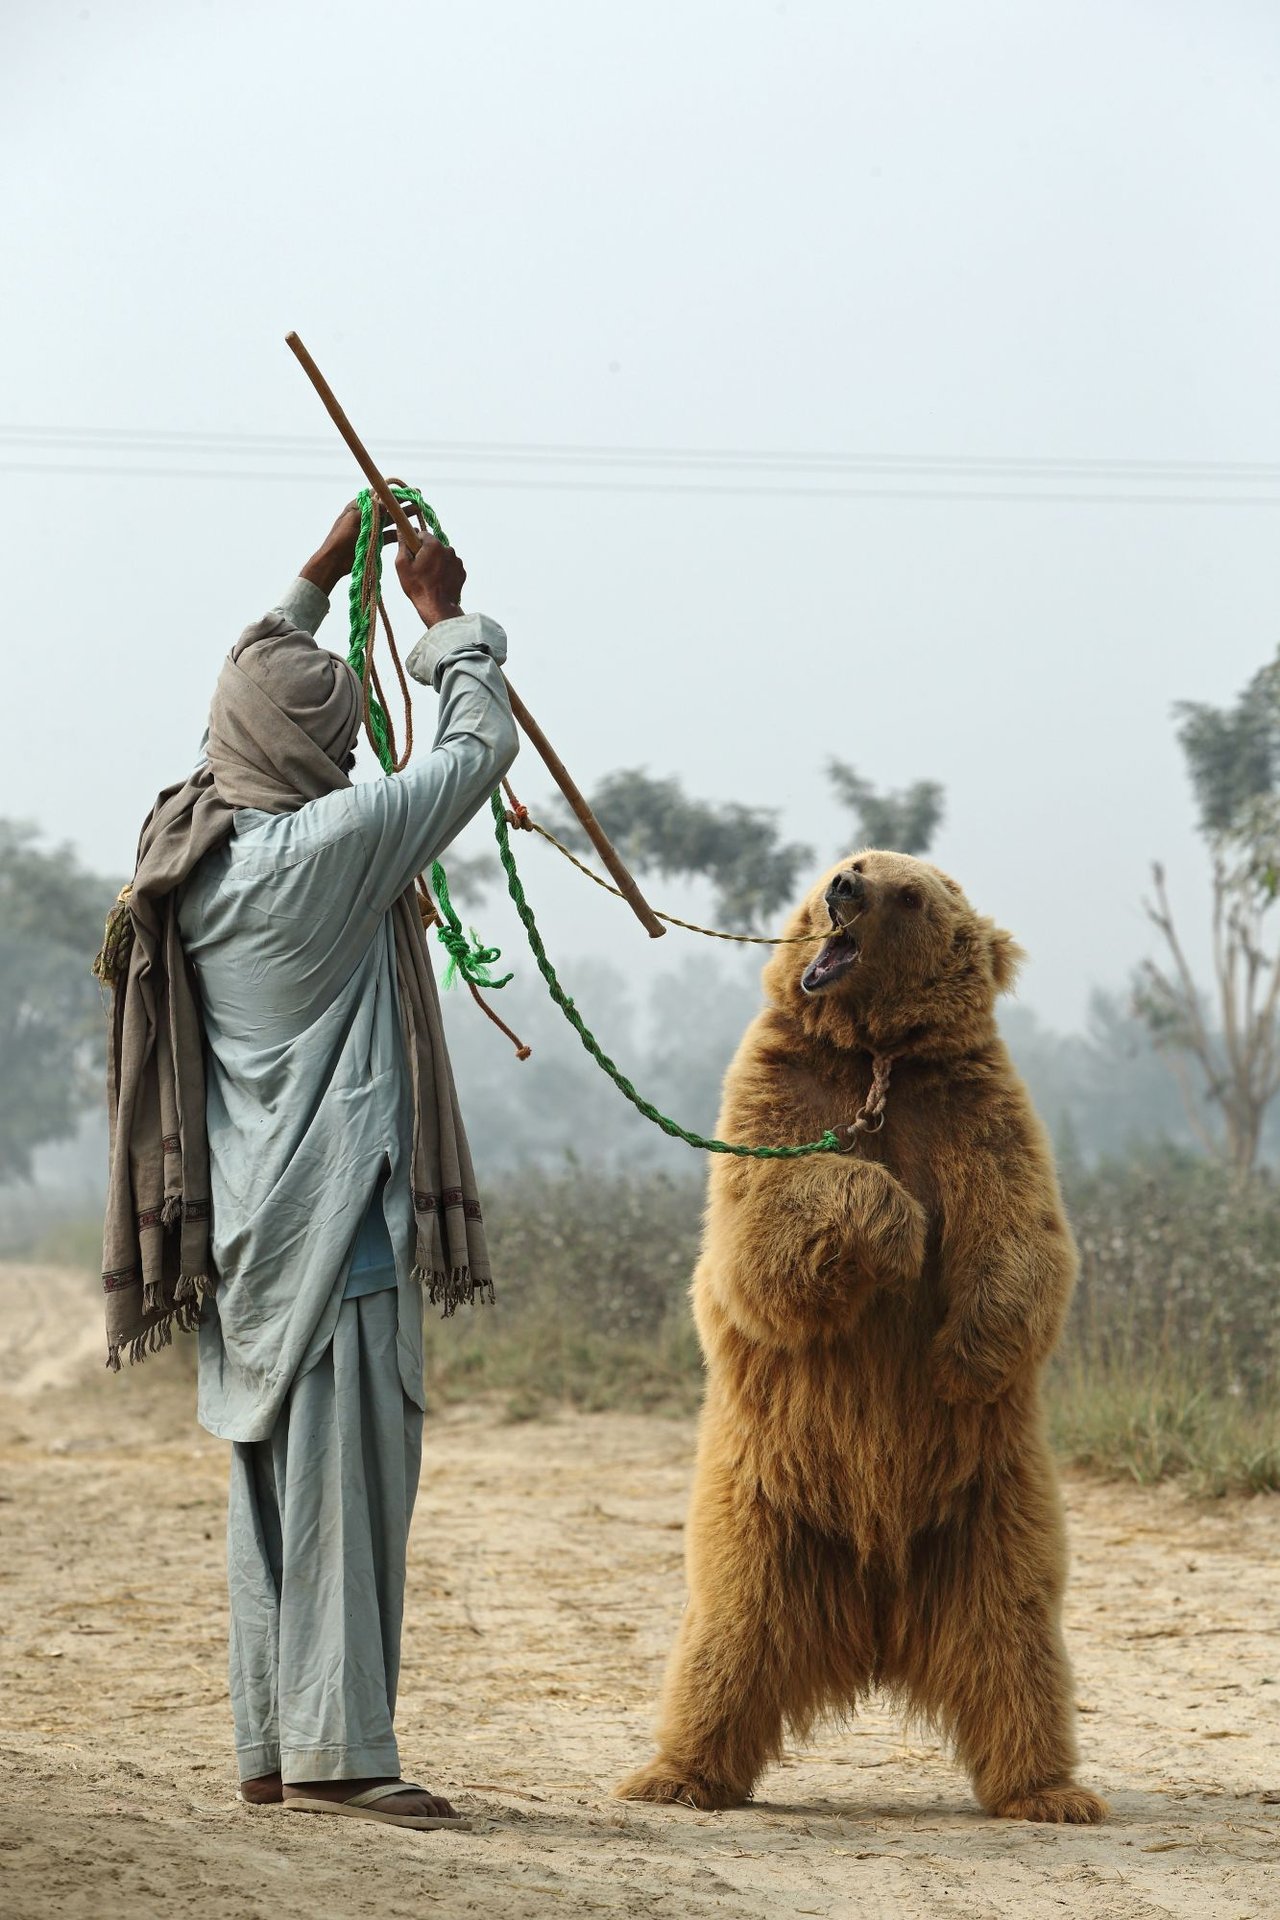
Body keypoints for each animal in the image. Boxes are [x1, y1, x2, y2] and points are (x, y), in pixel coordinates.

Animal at [614, 848, 1105, 1820]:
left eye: (908, 892)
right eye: (847, 863)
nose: (844, 888)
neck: (876, 1056)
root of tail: (878, 1623)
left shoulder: (972, 1108)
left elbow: (1021, 1236)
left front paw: (960, 1359)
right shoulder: (780, 1093)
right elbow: (766, 1223)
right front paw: (901, 1228)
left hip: (990, 1506)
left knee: (1015, 1637)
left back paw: (1049, 1789)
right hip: (765, 1510)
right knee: (727, 1633)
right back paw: (677, 1774)